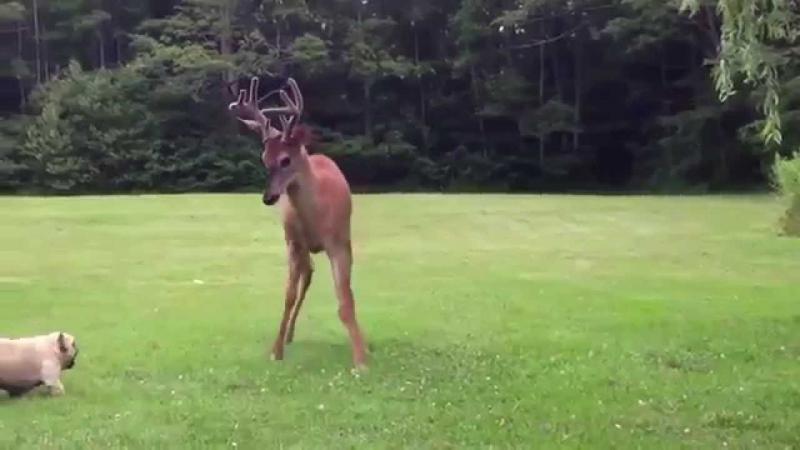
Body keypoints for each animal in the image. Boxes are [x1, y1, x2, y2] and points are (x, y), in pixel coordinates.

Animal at [228, 76, 368, 370]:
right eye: (264, 159)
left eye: (285, 160)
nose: (268, 197)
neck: (318, 215)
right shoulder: (294, 242)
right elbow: (289, 296)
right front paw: (276, 350)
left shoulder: (340, 242)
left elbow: (345, 296)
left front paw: (361, 357)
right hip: (295, 242)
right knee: (307, 273)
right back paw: (289, 334)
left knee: (314, 275)